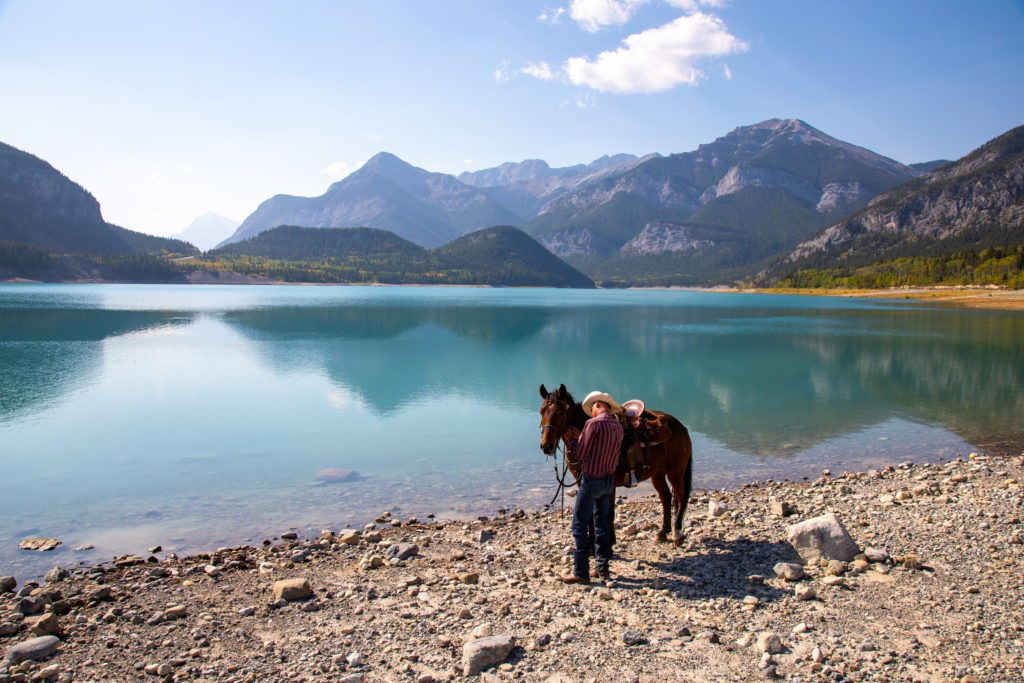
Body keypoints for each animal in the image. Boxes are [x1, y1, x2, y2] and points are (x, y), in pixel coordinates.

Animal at [539, 383, 694, 546]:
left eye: (560, 412)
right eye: (542, 411)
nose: (547, 446)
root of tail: (681, 427)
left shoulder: (610, 482)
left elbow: (608, 513)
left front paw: (609, 540)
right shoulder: (582, 481)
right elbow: (589, 514)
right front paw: (592, 544)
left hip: (675, 471)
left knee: (681, 497)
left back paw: (677, 534)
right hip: (657, 473)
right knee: (666, 497)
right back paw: (662, 532)